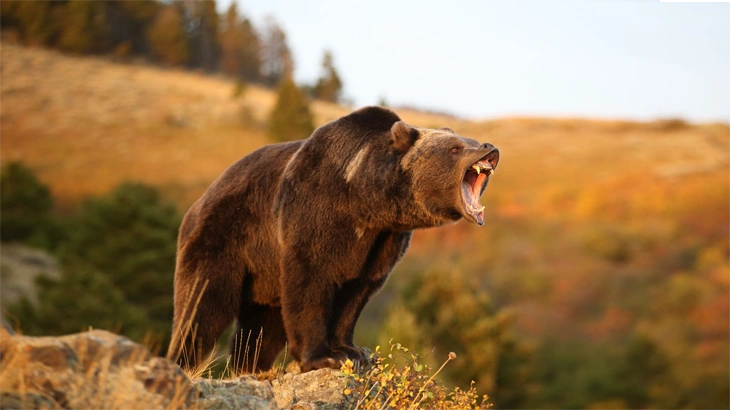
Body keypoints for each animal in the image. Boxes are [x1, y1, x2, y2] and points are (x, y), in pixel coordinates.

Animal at [168, 106, 499, 373]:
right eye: (456, 148)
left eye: (470, 140)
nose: (489, 147)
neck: (364, 201)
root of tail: (199, 201)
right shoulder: (315, 213)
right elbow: (311, 281)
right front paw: (323, 357)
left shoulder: (382, 242)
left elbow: (357, 291)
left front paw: (351, 351)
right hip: (223, 238)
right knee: (202, 305)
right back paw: (182, 361)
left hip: (264, 277)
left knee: (262, 328)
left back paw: (249, 367)